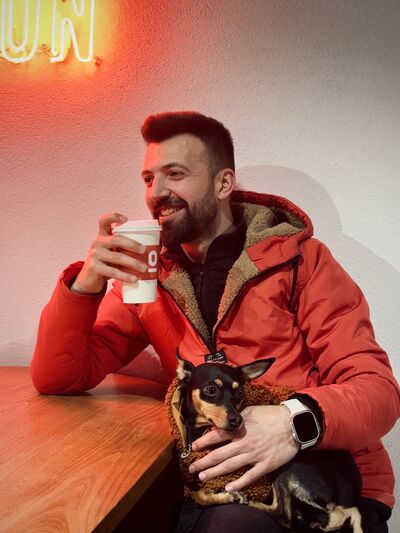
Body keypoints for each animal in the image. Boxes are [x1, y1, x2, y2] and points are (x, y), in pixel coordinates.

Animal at [175, 351, 363, 532]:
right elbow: (197, 494)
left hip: (286, 467)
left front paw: (230, 495)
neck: (199, 431)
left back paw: (252, 503)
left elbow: (199, 495)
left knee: (283, 515)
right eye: (210, 389)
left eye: (240, 392)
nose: (237, 420)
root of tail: (349, 504)